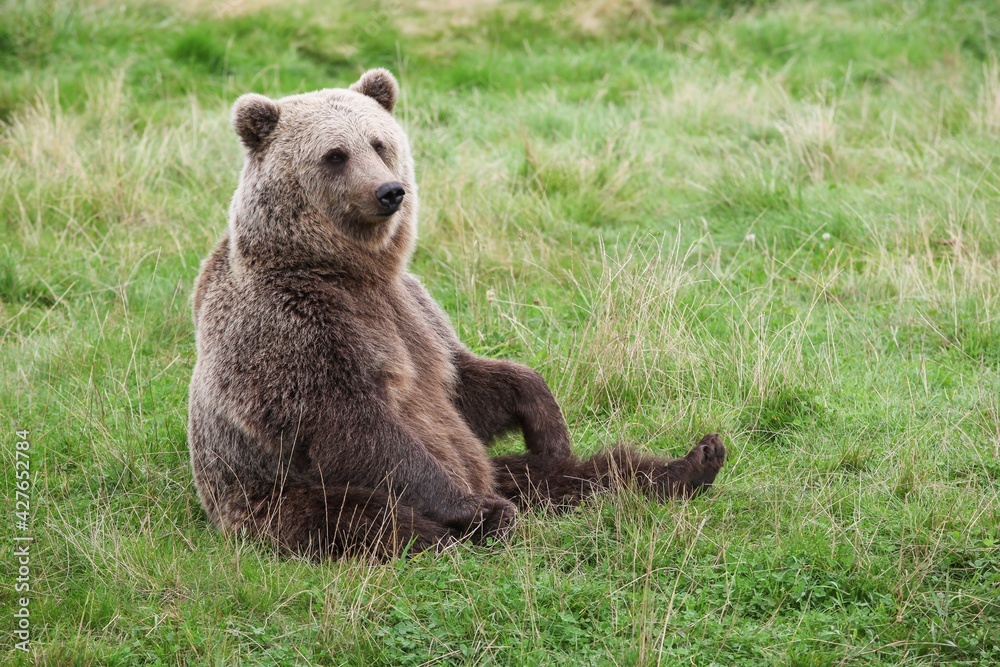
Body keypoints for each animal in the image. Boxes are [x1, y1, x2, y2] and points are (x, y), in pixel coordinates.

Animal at [188, 68, 726, 560]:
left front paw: (548, 424)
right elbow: (355, 426)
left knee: (582, 473)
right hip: (272, 500)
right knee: (363, 517)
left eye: (379, 143)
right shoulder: (294, 327)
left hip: (500, 469)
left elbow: (464, 381)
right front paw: (472, 510)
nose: (389, 191)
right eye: (334, 154)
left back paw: (693, 462)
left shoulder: (414, 309)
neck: (348, 270)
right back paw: (472, 524)